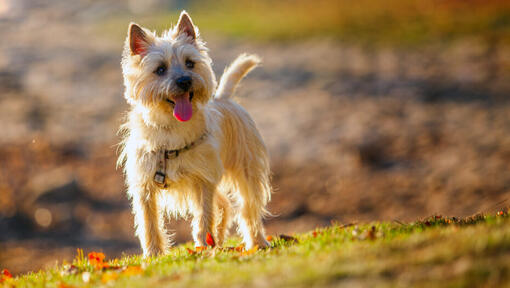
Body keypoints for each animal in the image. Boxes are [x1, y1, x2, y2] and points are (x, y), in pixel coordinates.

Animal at [118, 10, 272, 256]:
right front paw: (153, 254)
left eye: (190, 63)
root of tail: (224, 97)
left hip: (246, 172)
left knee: (248, 208)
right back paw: (219, 239)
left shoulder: (203, 181)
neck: (171, 128)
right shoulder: (144, 186)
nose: (184, 80)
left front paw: (202, 247)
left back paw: (256, 242)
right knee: (224, 205)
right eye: (160, 69)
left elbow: (204, 215)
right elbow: (149, 222)